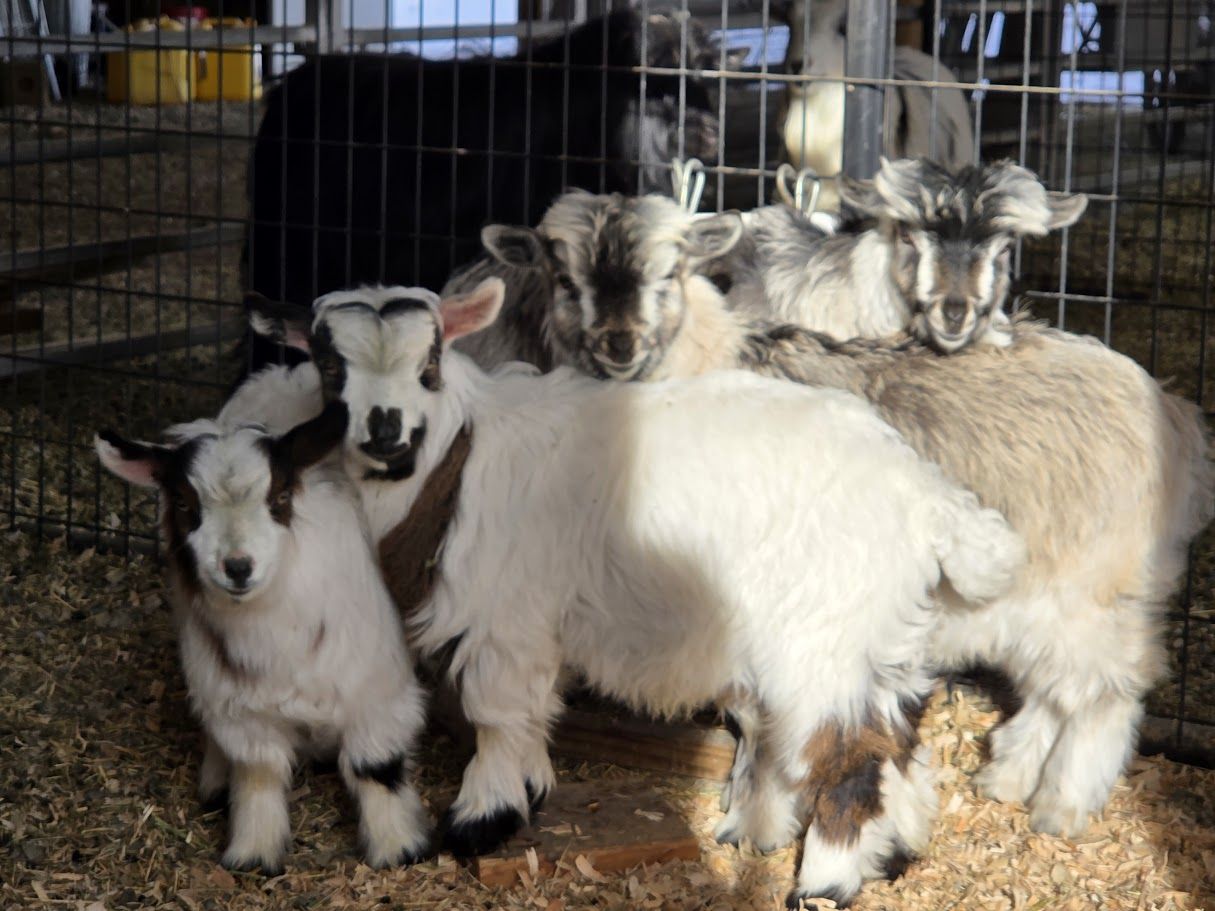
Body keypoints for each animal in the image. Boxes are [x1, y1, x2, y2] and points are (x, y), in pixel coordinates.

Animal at [95, 405, 432, 874]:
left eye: (281, 497)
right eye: (183, 503)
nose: (238, 567)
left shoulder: (377, 697)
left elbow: (375, 768)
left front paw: (398, 847)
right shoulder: (237, 708)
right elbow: (259, 773)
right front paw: (253, 853)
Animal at [242, 279, 1026, 908]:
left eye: (428, 365)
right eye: (330, 365)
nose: (385, 431)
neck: (453, 462)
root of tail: (925, 494)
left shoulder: (504, 620)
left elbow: (495, 717)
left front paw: (481, 818)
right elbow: (532, 717)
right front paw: (531, 789)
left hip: (826, 630)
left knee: (850, 749)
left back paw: (826, 881)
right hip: (877, 629)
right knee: (899, 737)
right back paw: (887, 854)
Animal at [445, 192, 1215, 838]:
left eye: (670, 273)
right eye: (562, 277)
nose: (618, 344)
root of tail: (1172, 412)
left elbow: (758, 715)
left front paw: (753, 819)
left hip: (1092, 585)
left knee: (1109, 691)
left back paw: (1062, 802)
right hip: (1046, 596)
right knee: (1059, 688)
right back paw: (1009, 774)